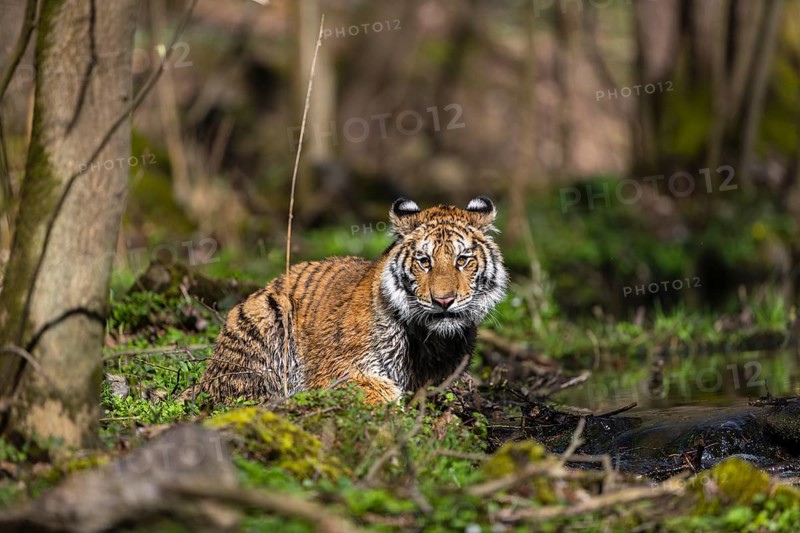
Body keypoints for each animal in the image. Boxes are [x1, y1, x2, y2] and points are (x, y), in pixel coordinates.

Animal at [200, 196, 508, 404]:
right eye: (424, 261)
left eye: (462, 260)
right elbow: (378, 390)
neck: (433, 341)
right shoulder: (340, 370)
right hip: (268, 314)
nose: (444, 301)